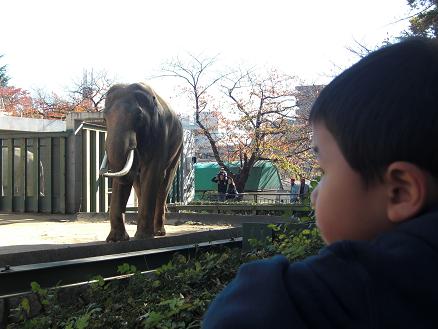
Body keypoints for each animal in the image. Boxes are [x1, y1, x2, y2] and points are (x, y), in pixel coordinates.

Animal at [99, 82, 183, 241]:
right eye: (104, 119)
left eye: (139, 117)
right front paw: (115, 239)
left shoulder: (160, 133)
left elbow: (152, 173)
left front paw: (143, 237)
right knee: (139, 185)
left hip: (178, 150)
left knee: (165, 183)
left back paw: (158, 232)